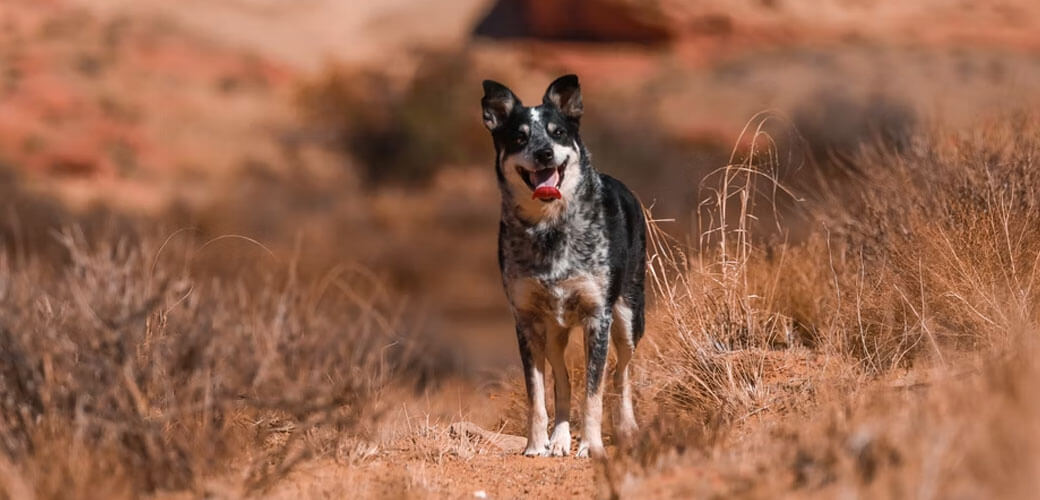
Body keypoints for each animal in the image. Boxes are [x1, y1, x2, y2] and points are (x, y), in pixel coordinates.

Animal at [482, 73, 644, 455]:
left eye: (557, 133)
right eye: (520, 137)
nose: (544, 152)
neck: (550, 227)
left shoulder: (598, 317)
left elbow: (594, 393)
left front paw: (592, 446)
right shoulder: (526, 321)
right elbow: (538, 394)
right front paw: (536, 444)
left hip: (628, 319)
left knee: (621, 373)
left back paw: (626, 429)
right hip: (555, 332)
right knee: (563, 380)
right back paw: (558, 439)